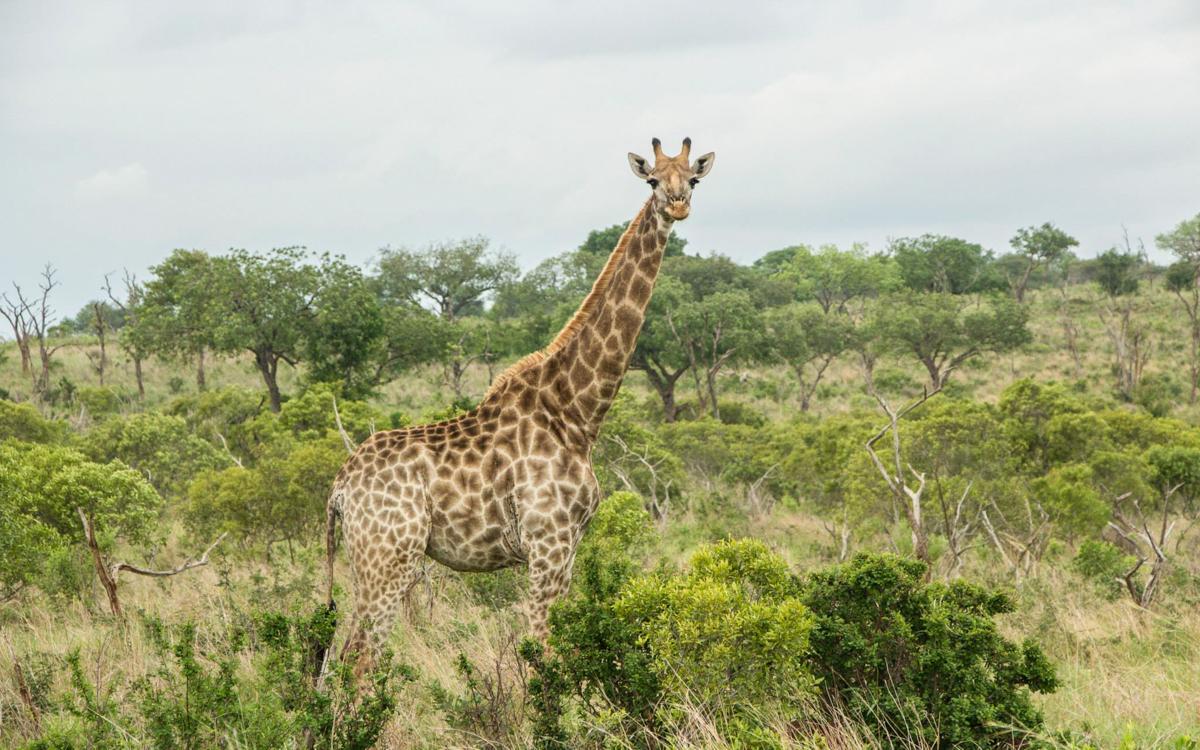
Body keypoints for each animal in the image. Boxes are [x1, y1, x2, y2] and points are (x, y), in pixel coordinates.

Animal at [326, 138, 716, 676]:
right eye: (653, 180)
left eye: (693, 179)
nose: (677, 205)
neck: (576, 412)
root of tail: (339, 489)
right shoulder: (547, 545)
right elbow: (542, 656)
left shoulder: (567, 550)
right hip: (389, 558)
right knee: (360, 657)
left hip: (374, 561)